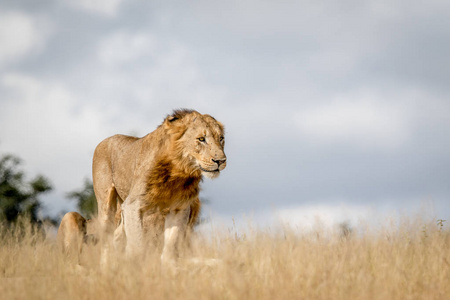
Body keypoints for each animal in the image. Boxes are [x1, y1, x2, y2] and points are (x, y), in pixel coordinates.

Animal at [90, 109, 225, 268]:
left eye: (221, 138)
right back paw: (105, 268)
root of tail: (105, 140)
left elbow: (171, 243)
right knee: (106, 239)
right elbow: (136, 245)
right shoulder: (132, 205)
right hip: (106, 203)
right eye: (201, 139)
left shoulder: (180, 208)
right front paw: (135, 269)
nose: (221, 161)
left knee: (117, 235)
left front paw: (169, 267)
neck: (179, 172)